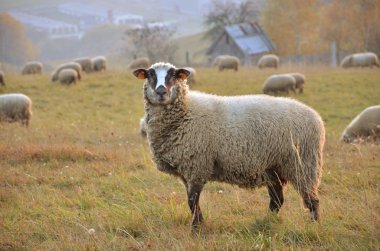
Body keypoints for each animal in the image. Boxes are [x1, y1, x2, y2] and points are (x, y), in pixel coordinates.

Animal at [133, 62, 324, 229]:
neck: (186, 112)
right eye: (150, 74)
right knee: (277, 200)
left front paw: (196, 229)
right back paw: (266, 222)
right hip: (273, 167)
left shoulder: (197, 165)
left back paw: (314, 226)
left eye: (173, 74)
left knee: (311, 199)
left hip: (302, 164)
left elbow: (192, 201)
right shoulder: (187, 170)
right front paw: (200, 224)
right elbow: (193, 202)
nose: (161, 91)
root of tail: (316, 118)